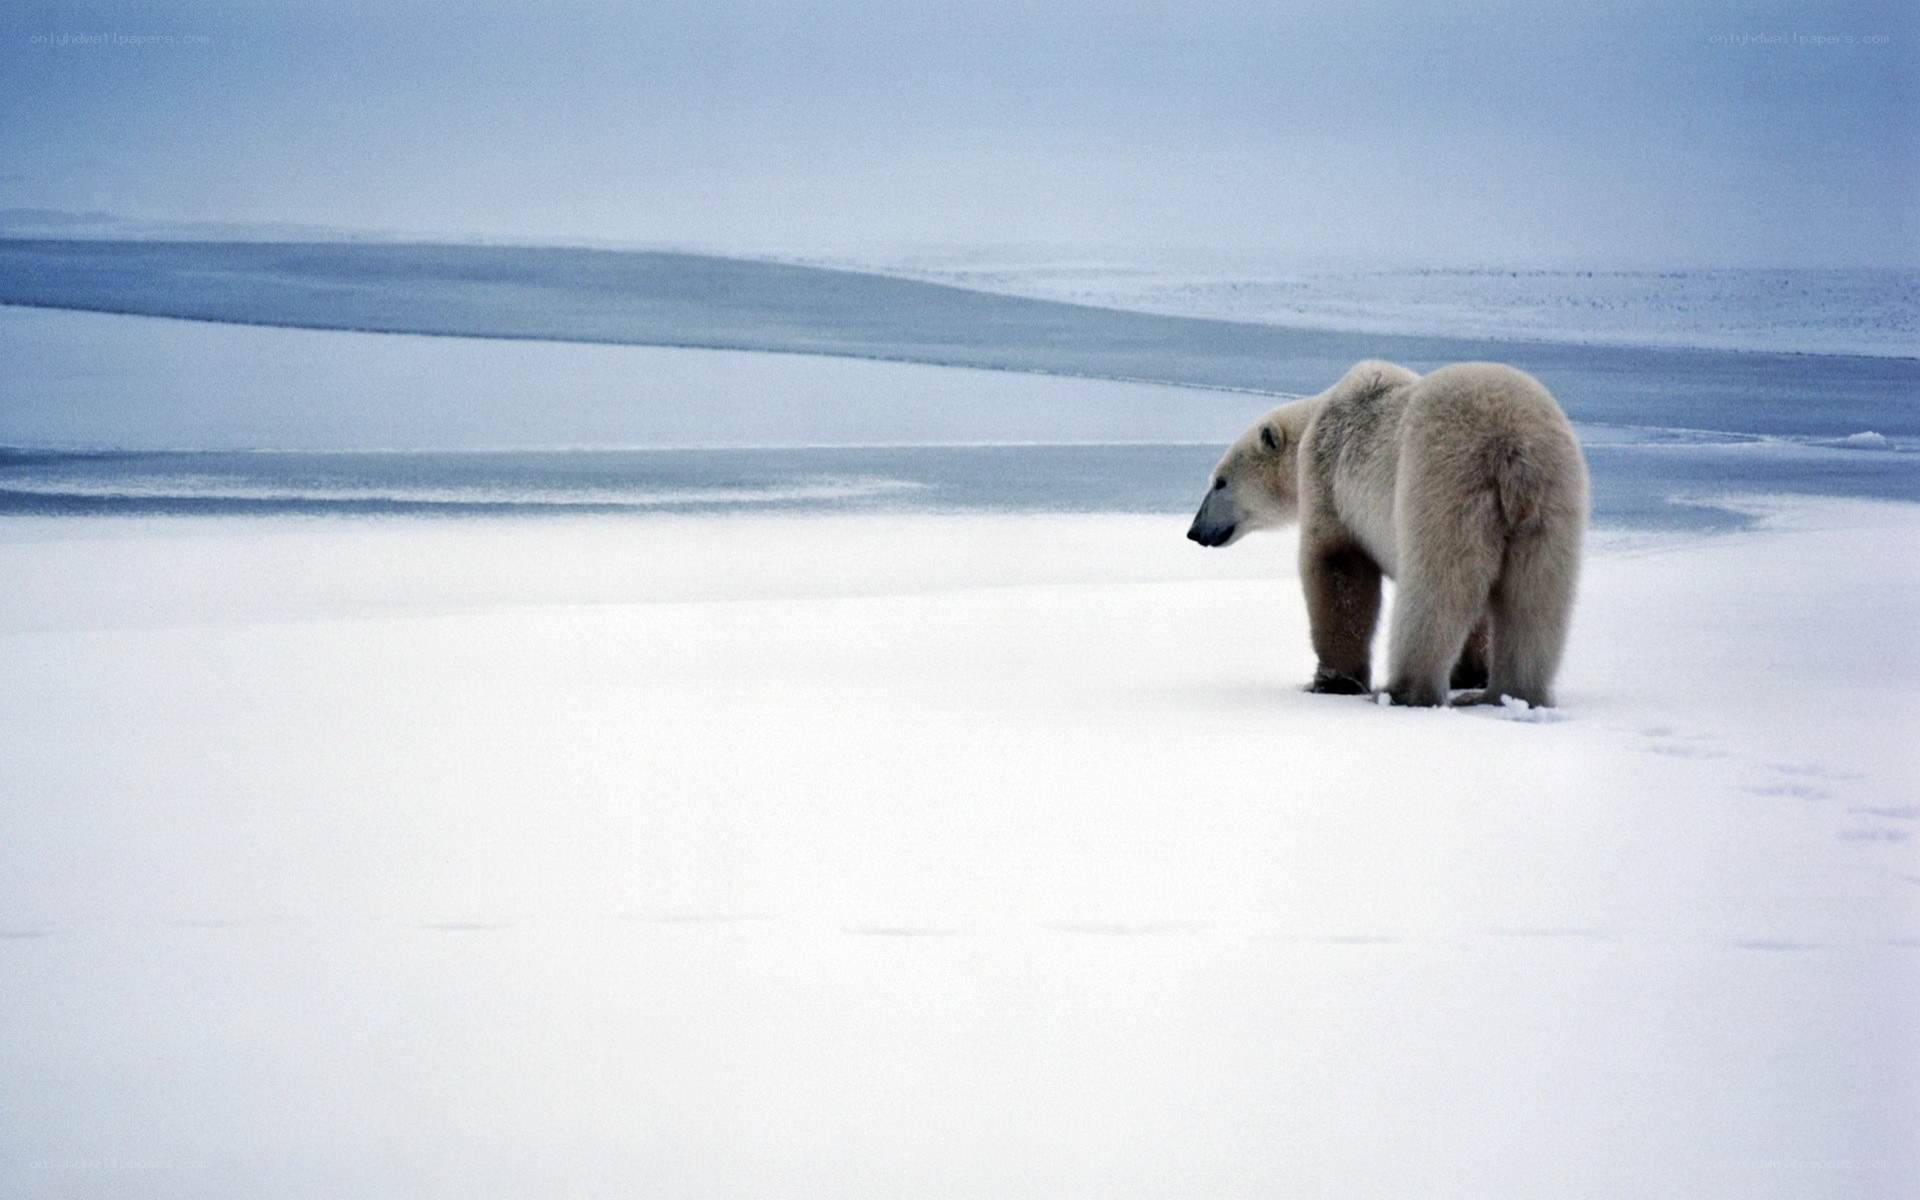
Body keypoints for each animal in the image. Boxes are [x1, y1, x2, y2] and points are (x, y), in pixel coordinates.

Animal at [1187, 360, 1588, 708]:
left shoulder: (1329, 478)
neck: (1317, 419)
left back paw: (1404, 691)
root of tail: (1512, 451)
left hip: (1443, 482)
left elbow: (1338, 570)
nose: (1194, 531)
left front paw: (1332, 681)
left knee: (1436, 589)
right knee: (1535, 599)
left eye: (1219, 482)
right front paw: (1470, 673)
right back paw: (1509, 694)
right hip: (1553, 501)